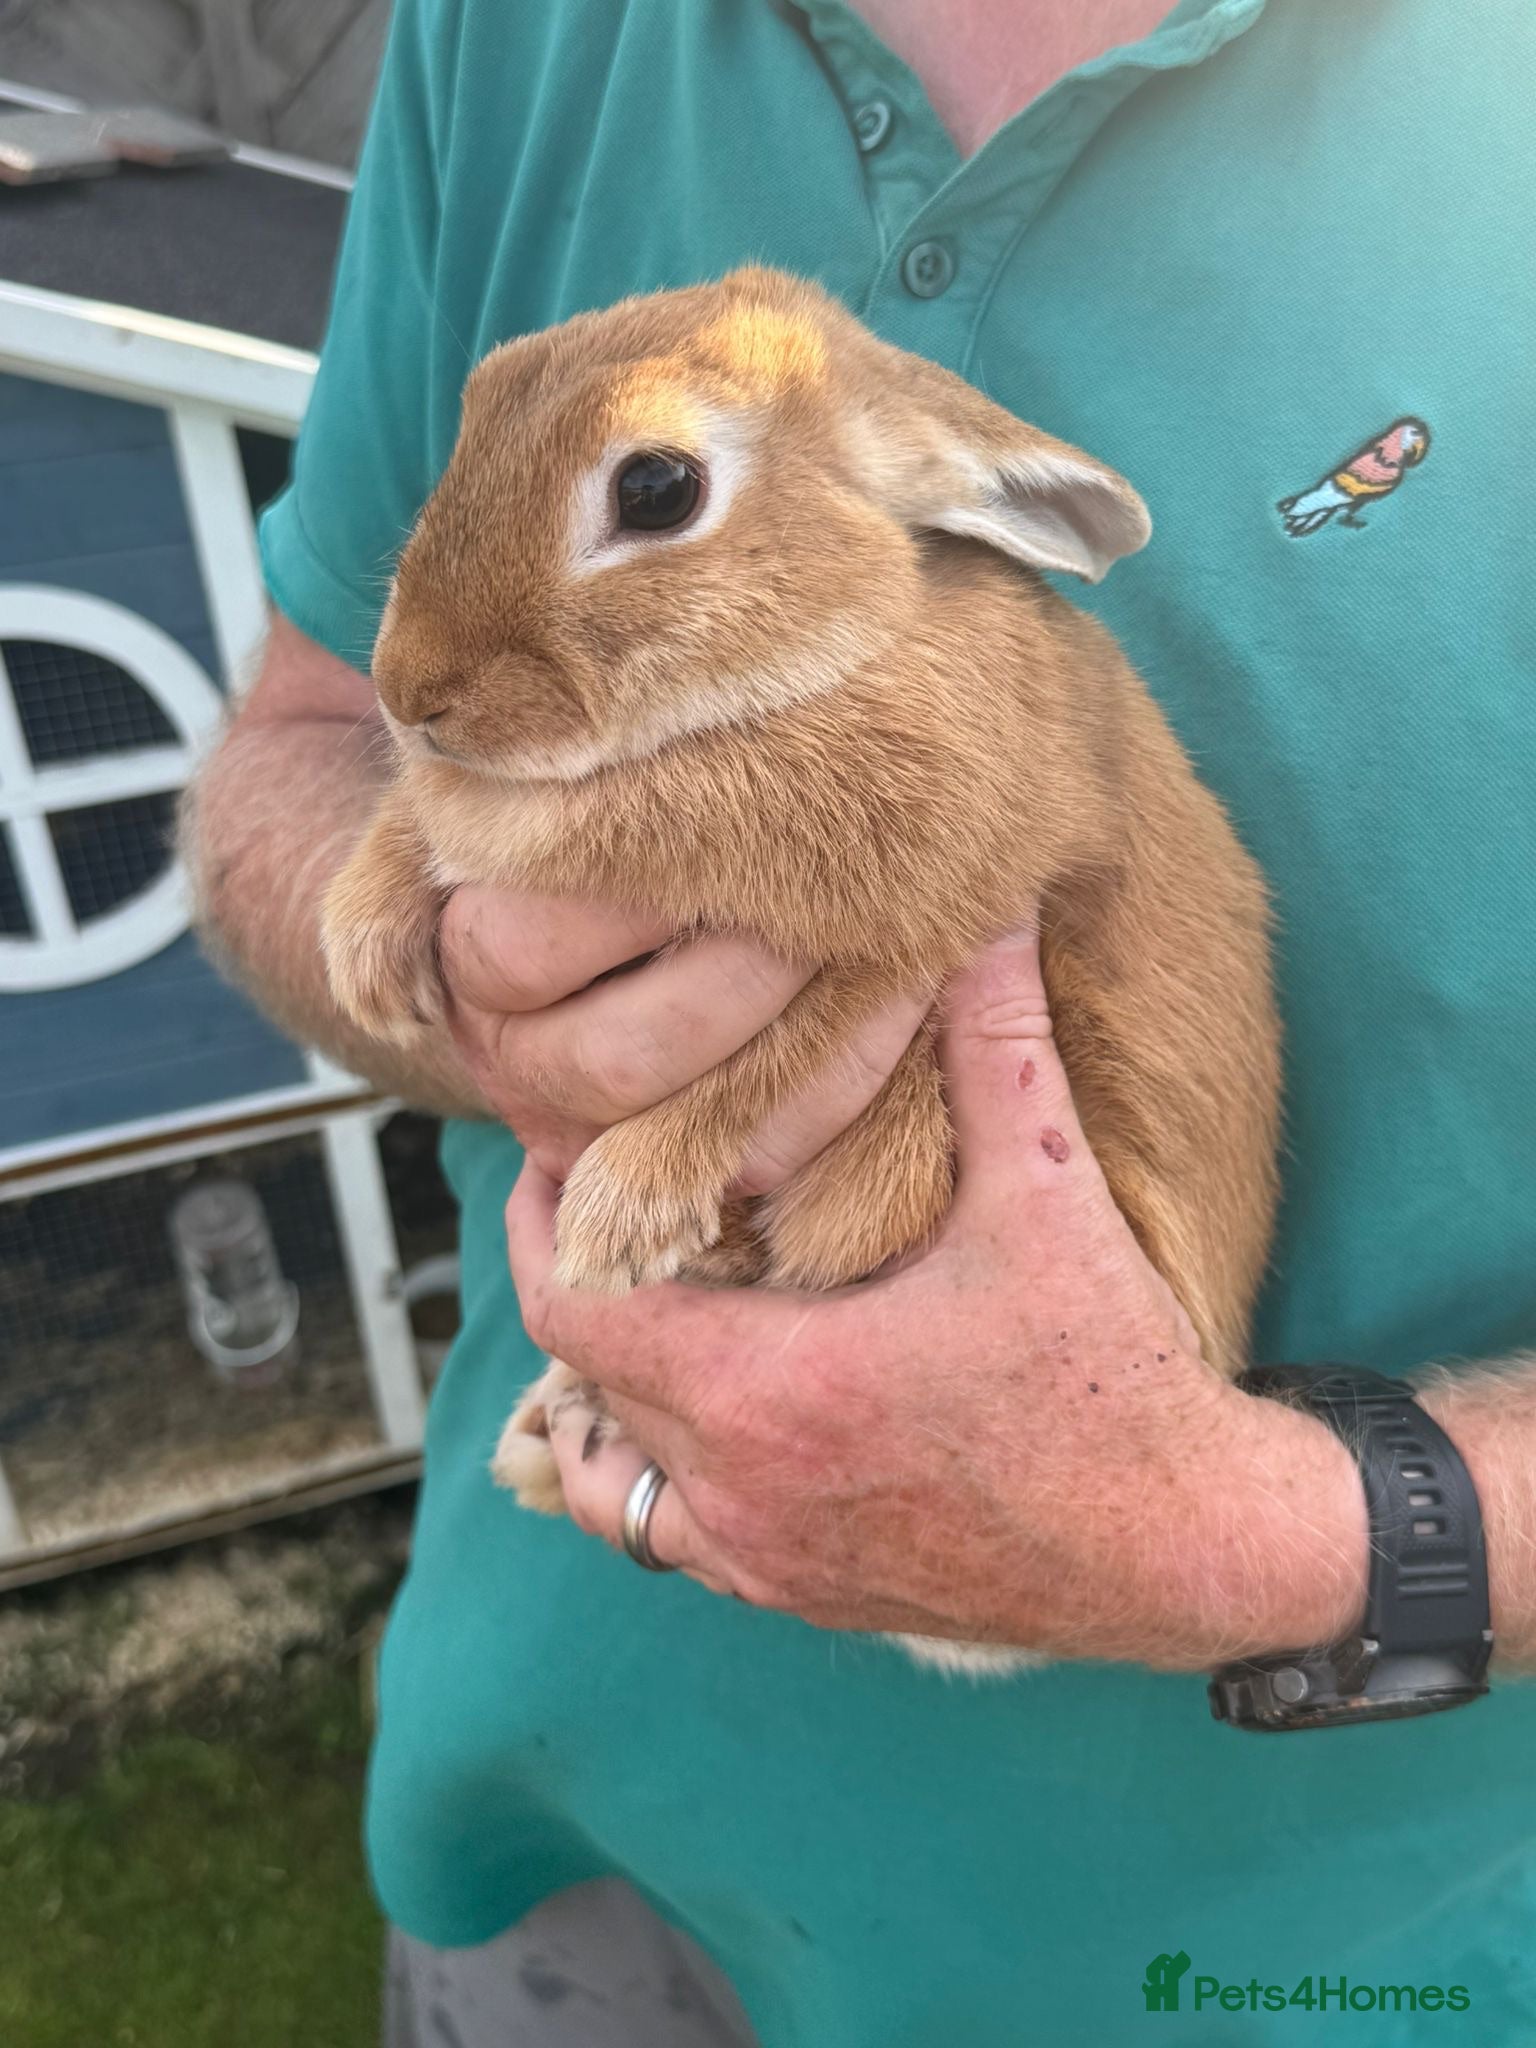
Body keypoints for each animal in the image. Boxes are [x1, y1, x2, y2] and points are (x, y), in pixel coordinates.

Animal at [321, 267, 1281, 1671]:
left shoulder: (925, 939)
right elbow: (430, 822)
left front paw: (615, 1223)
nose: (411, 693)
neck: (805, 675)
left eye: (656, 487)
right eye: (481, 396)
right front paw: (363, 944)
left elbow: (769, 1063)